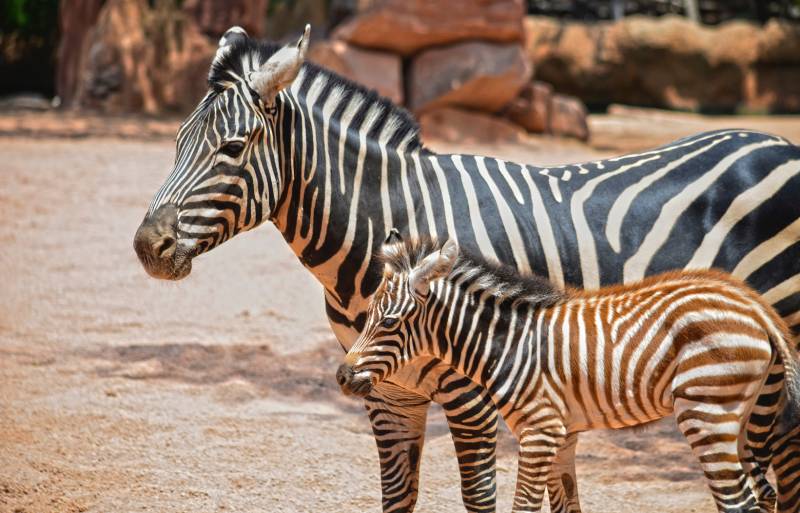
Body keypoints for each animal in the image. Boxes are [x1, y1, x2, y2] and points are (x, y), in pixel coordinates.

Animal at [336, 238, 800, 510]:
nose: (342, 376)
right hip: (743, 416)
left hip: (706, 413)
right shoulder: (563, 434)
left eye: (390, 322)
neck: (510, 343)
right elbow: (565, 505)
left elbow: (524, 505)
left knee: (737, 501)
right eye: (368, 315)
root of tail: (756, 305)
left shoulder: (539, 430)